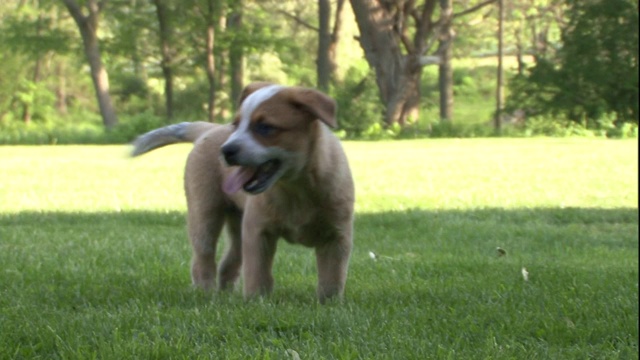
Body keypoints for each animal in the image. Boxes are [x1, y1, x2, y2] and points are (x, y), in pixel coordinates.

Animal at [131, 83, 356, 302]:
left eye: (265, 127)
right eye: (236, 124)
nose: (225, 151)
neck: (295, 188)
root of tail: (210, 128)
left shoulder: (337, 236)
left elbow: (332, 278)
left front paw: (330, 305)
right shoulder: (257, 231)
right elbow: (257, 273)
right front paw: (257, 303)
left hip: (237, 226)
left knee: (228, 262)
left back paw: (225, 295)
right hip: (205, 214)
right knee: (203, 258)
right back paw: (205, 293)